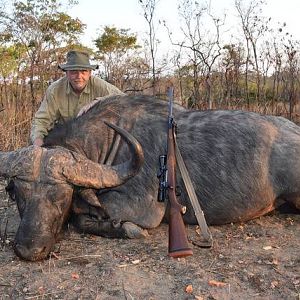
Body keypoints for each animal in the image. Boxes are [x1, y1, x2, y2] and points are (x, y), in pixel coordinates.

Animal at [0, 95, 300, 260]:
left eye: (61, 196)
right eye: (18, 194)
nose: (29, 250)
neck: (107, 141)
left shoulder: (139, 209)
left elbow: (81, 219)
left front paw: (125, 229)